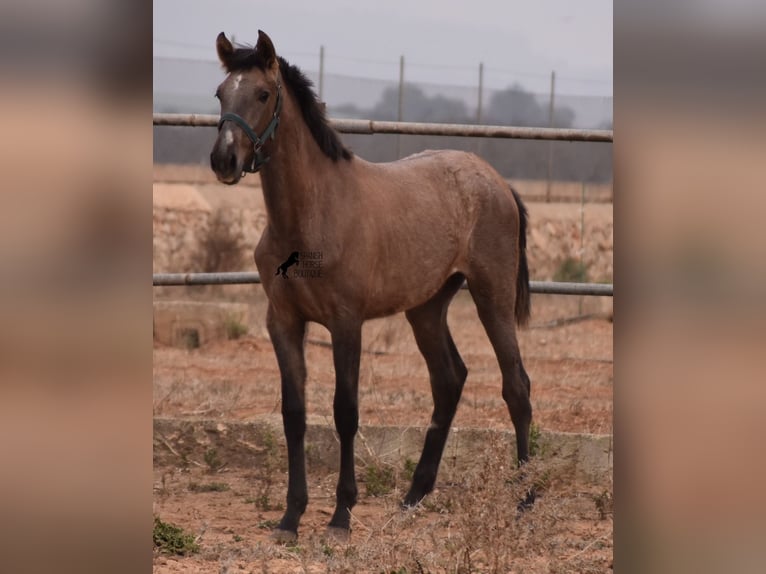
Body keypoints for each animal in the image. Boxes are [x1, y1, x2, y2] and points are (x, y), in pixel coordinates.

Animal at [208, 30, 536, 544]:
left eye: (262, 94)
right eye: (221, 94)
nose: (224, 160)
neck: (310, 215)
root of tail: (498, 182)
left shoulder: (346, 324)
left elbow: (345, 412)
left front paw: (341, 516)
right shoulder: (283, 322)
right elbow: (294, 414)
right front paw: (290, 518)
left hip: (492, 297)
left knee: (516, 386)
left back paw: (525, 501)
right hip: (426, 308)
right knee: (449, 381)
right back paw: (412, 499)